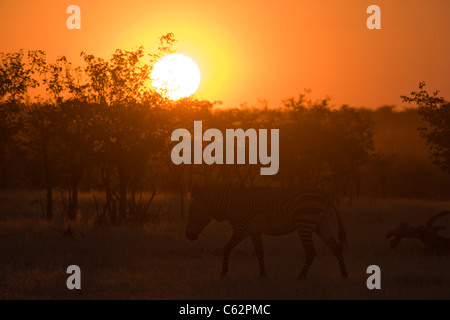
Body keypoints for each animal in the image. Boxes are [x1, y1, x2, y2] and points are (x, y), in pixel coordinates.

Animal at [185, 186, 348, 278]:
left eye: (191, 212)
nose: (187, 236)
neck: (228, 205)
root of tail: (325, 195)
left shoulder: (242, 228)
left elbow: (226, 248)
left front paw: (223, 273)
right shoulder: (254, 232)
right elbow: (260, 253)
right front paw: (263, 275)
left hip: (305, 223)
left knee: (311, 251)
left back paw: (301, 276)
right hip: (322, 224)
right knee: (336, 247)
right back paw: (344, 275)